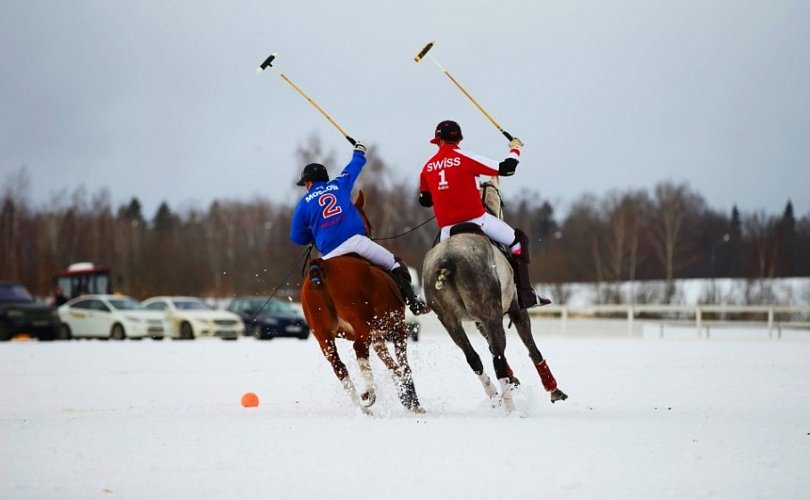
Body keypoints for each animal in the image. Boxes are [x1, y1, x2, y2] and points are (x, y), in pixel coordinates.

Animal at [298, 191, 422, 414]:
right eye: (369, 223)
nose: (370, 234)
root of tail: (320, 267)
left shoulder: (378, 336)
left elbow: (394, 367)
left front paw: (407, 399)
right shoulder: (397, 328)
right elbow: (403, 366)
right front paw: (414, 402)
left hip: (323, 335)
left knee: (338, 366)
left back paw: (363, 407)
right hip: (360, 324)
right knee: (359, 351)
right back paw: (370, 393)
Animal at [420, 178, 564, 412]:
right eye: (502, 201)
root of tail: (447, 259)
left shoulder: (479, 321)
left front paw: (514, 380)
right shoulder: (515, 309)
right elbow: (531, 347)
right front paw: (554, 390)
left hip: (449, 320)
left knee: (474, 358)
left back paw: (494, 394)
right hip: (491, 314)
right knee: (497, 358)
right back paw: (510, 407)